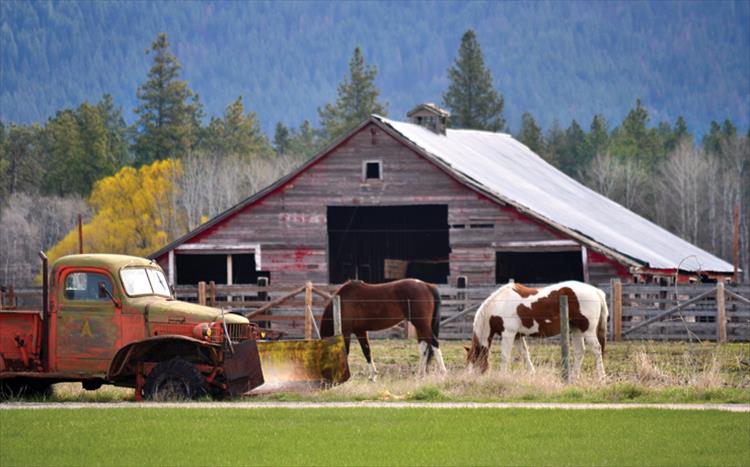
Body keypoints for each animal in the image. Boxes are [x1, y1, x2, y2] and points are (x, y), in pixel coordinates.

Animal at [318, 280, 446, 382]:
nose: (324, 381)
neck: (344, 301)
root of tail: (427, 286)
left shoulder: (346, 332)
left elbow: (346, 352)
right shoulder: (360, 331)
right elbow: (366, 351)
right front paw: (373, 376)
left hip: (421, 324)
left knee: (434, 343)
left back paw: (443, 373)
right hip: (419, 325)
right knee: (424, 347)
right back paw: (420, 375)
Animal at [470, 282, 612, 380]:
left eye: (473, 360)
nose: (470, 377)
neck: (501, 303)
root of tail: (596, 291)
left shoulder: (508, 334)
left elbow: (505, 356)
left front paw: (502, 376)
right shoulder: (517, 336)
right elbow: (525, 354)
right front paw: (532, 373)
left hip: (588, 330)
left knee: (597, 349)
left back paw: (602, 377)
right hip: (576, 329)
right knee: (579, 351)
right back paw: (574, 376)